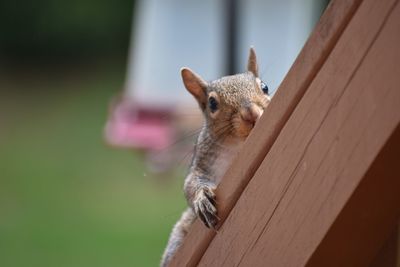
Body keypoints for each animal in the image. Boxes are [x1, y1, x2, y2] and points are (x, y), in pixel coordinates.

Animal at [161, 47, 270, 266]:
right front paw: (202, 199)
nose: (251, 113)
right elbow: (191, 184)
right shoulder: (201, 164)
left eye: (265, 87)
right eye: (212, 103)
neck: (238, 144)